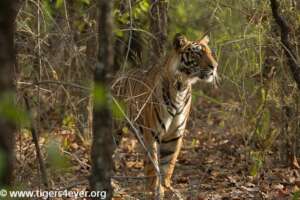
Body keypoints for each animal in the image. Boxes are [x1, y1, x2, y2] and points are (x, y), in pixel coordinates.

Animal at [112, 32, 218, 195]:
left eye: (210, 53)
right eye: (198, 53)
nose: (214, 66)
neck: (181, 87)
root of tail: (118, 75)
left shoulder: (175, 135)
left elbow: (168, 164)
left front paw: (167, 188)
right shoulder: (152, 133)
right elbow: (152, 165)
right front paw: (153, 190)